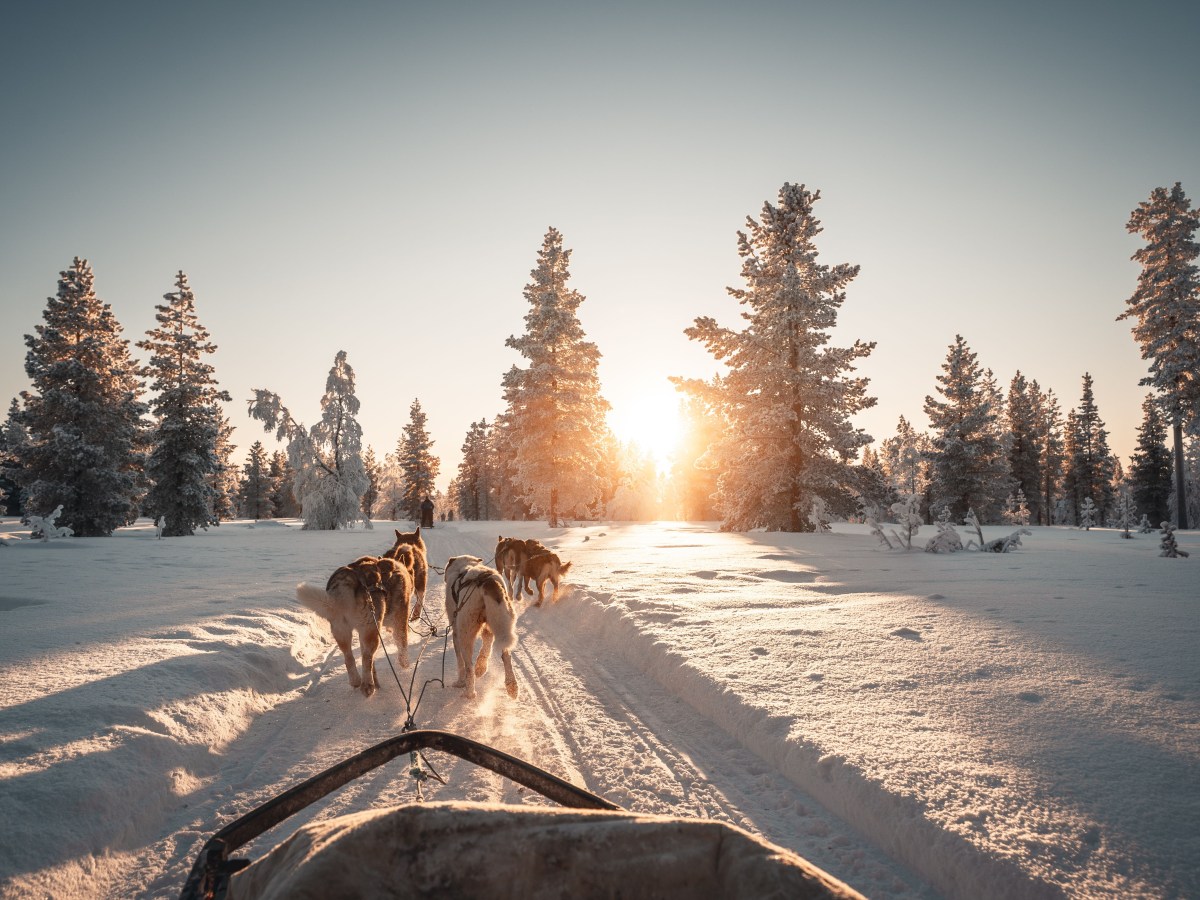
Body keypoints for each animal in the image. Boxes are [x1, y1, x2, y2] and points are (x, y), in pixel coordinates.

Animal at [297, 556, 415, 696]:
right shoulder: (399, 622)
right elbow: (402, 646)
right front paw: (405, 664)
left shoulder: (361, 632)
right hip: (371, 631)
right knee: (366, 658)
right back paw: (368, 685)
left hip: (343, 631)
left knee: (349, 658)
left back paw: (356, 681)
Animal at [441, 554, 516, 700]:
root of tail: (487, 581)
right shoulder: (488, 629)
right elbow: (487, 643)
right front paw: (481, 666)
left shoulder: (456, 633)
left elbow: (460, 663)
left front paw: (460, 682)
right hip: (501, 624)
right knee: (505, 656)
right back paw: (511, 686)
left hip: (465, 633)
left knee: (468, 666)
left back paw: (469, 692)